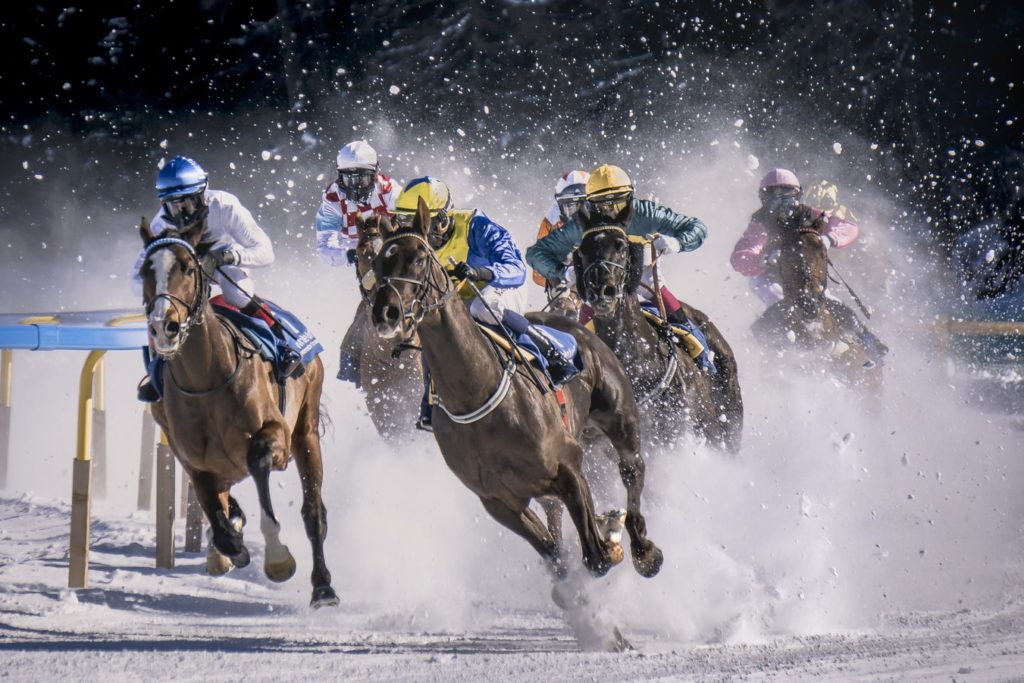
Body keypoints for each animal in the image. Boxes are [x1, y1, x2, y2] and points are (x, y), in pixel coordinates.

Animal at [138, 218, 337, 610]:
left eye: (187, 267)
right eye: (144, 271)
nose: (163, 326)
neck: (206, 381)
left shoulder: (276, 435)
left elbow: (258, 462)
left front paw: (277, 559)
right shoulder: (194, 461)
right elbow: (217, 516)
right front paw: (228, 546)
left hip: (306, 429)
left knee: (313, 513)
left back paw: (323, 587)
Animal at [368, 197, 663, 610]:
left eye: (419, 259)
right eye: (381, 262)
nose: (385, 312)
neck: (478, 393)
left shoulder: (567, 465)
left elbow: (597, 555)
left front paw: (611, 535)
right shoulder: (499, 501)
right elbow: (557, 557)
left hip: (620, 418)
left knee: (632, 469)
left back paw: (643, 549)